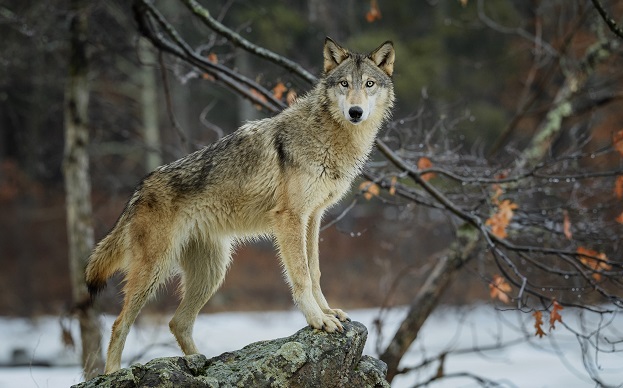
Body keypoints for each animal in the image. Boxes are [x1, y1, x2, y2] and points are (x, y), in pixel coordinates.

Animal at [85, 37, 394, 372]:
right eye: (344, 83)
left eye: (369, 84)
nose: (355, 111)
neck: (329, 136)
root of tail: (138, 189)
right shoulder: (290, 218)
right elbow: (301, 275)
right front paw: (317, 320)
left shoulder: (313, 217)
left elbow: (315, 272)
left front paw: (327, 312)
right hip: (154, 271)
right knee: (119, 323)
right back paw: (113, 372)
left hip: (213, 272)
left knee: (177, 322)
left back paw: (199, 363)